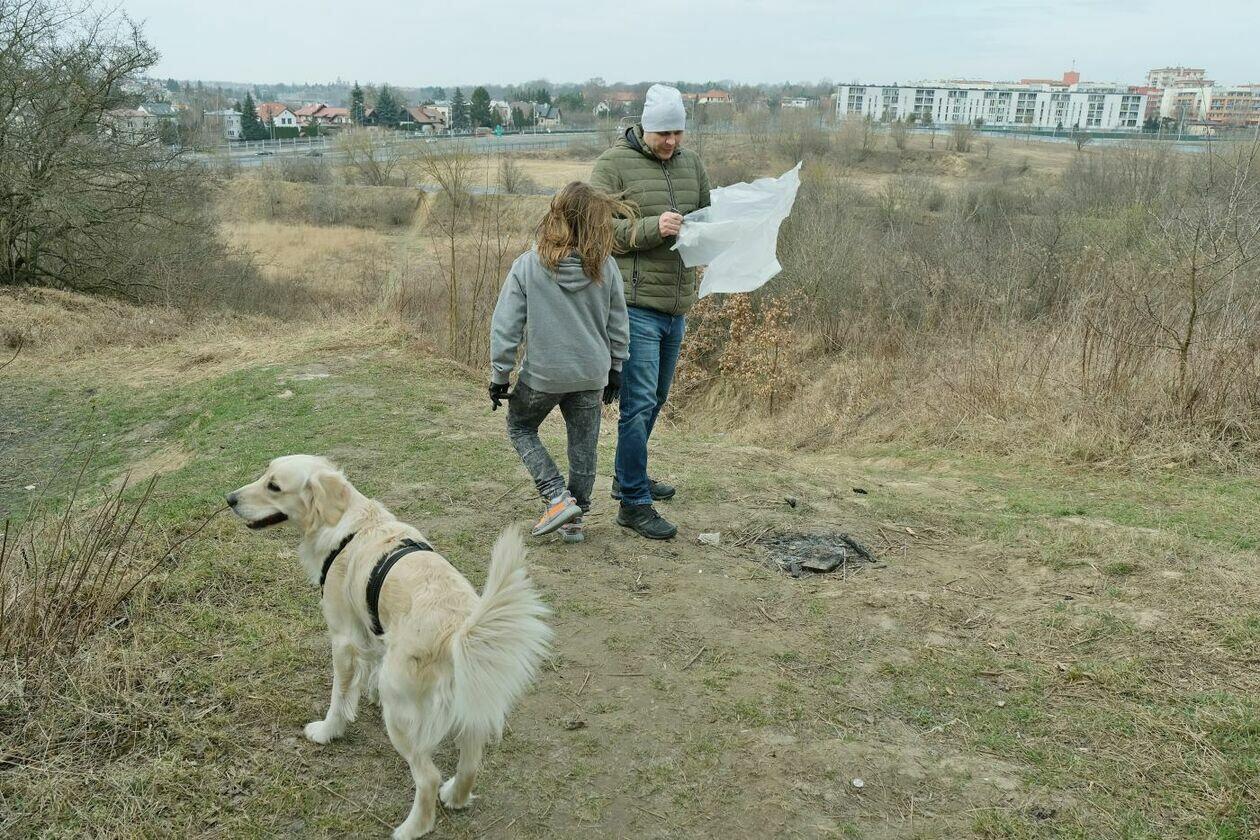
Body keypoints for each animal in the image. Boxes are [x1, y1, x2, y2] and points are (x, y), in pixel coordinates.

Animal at [226, 455, 551, 838]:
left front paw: (327, 731)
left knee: (427, 777)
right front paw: (366, 695)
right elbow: (370, 665)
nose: (230, 499)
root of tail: (458, 630)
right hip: (466, 705)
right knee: (471, 760)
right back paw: (455, 796)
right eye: (265, 474)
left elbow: (339, 696)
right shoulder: (373, 626)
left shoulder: (343, 638)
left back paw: (411, 828)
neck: (346, 524)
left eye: (274, 486)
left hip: (401, 714)